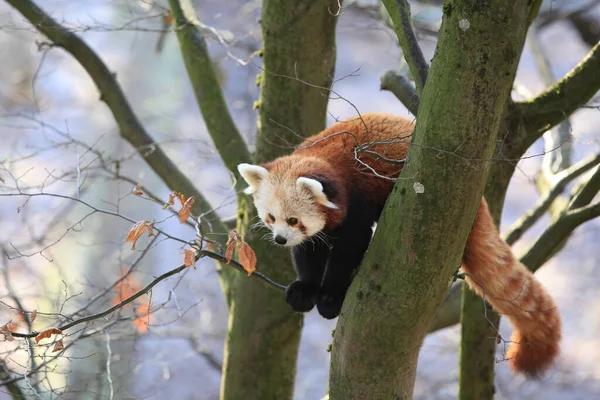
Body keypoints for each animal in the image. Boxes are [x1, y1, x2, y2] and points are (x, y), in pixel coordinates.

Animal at [238, 113, 564, 378]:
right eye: (271, 218)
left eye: (294, 220)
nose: (280, 239)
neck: (329, 160)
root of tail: (477, 196)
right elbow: (308, 253)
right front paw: (304, 290)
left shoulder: (357, 201)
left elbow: (349, 248)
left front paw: (331, 296)